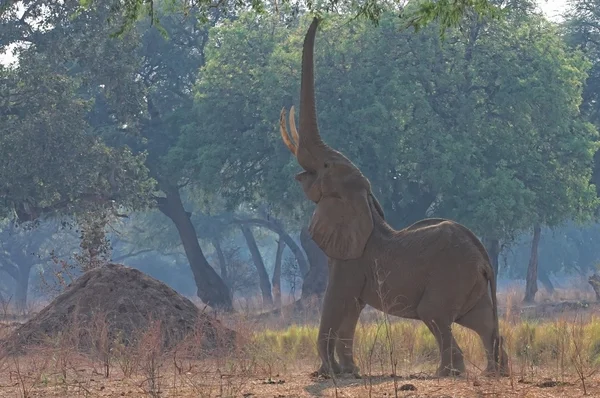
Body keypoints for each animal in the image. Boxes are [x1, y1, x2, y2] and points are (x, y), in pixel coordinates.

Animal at [278, 17, 508, 380]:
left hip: (450, 277)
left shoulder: (350, 261)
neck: (366, 203)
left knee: (436, 316)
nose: (318, 19)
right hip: (471, 284)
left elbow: (336, 301)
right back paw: (493, 372)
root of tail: (485, 259)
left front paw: (328, 374)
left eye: (326, 166)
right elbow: (351, 310)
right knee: (482, 323)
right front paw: (350, 372)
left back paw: (448, 373)